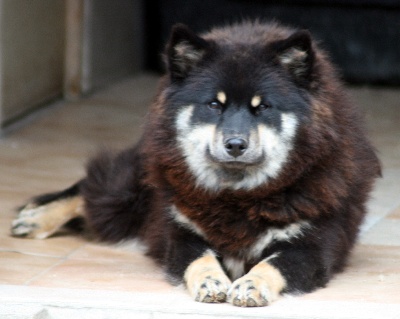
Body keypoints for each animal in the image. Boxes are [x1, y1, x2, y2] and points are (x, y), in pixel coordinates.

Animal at [10, 21, 380, 308]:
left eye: (262, 107)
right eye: (214, 105)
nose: (235, 145)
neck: (239, 195)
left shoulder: (310, 246)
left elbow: (273, 264)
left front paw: (251, 284)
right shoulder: (180, 233)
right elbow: (200, 259)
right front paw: (211, 281)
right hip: (131, 191)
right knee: (90, 189)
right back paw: (35, 218)